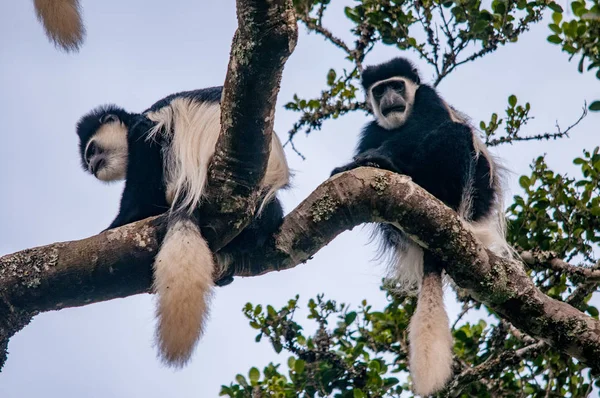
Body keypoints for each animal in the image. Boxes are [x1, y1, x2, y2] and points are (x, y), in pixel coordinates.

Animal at [330, 57, 508, 396]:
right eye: (379, 90)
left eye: (397, 86)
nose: (389, 99)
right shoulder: (372, 126)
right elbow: (374, 133)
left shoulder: (427, 97)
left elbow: (426, 124)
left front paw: (375, 158)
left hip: (463, 197)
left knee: (452, 132)